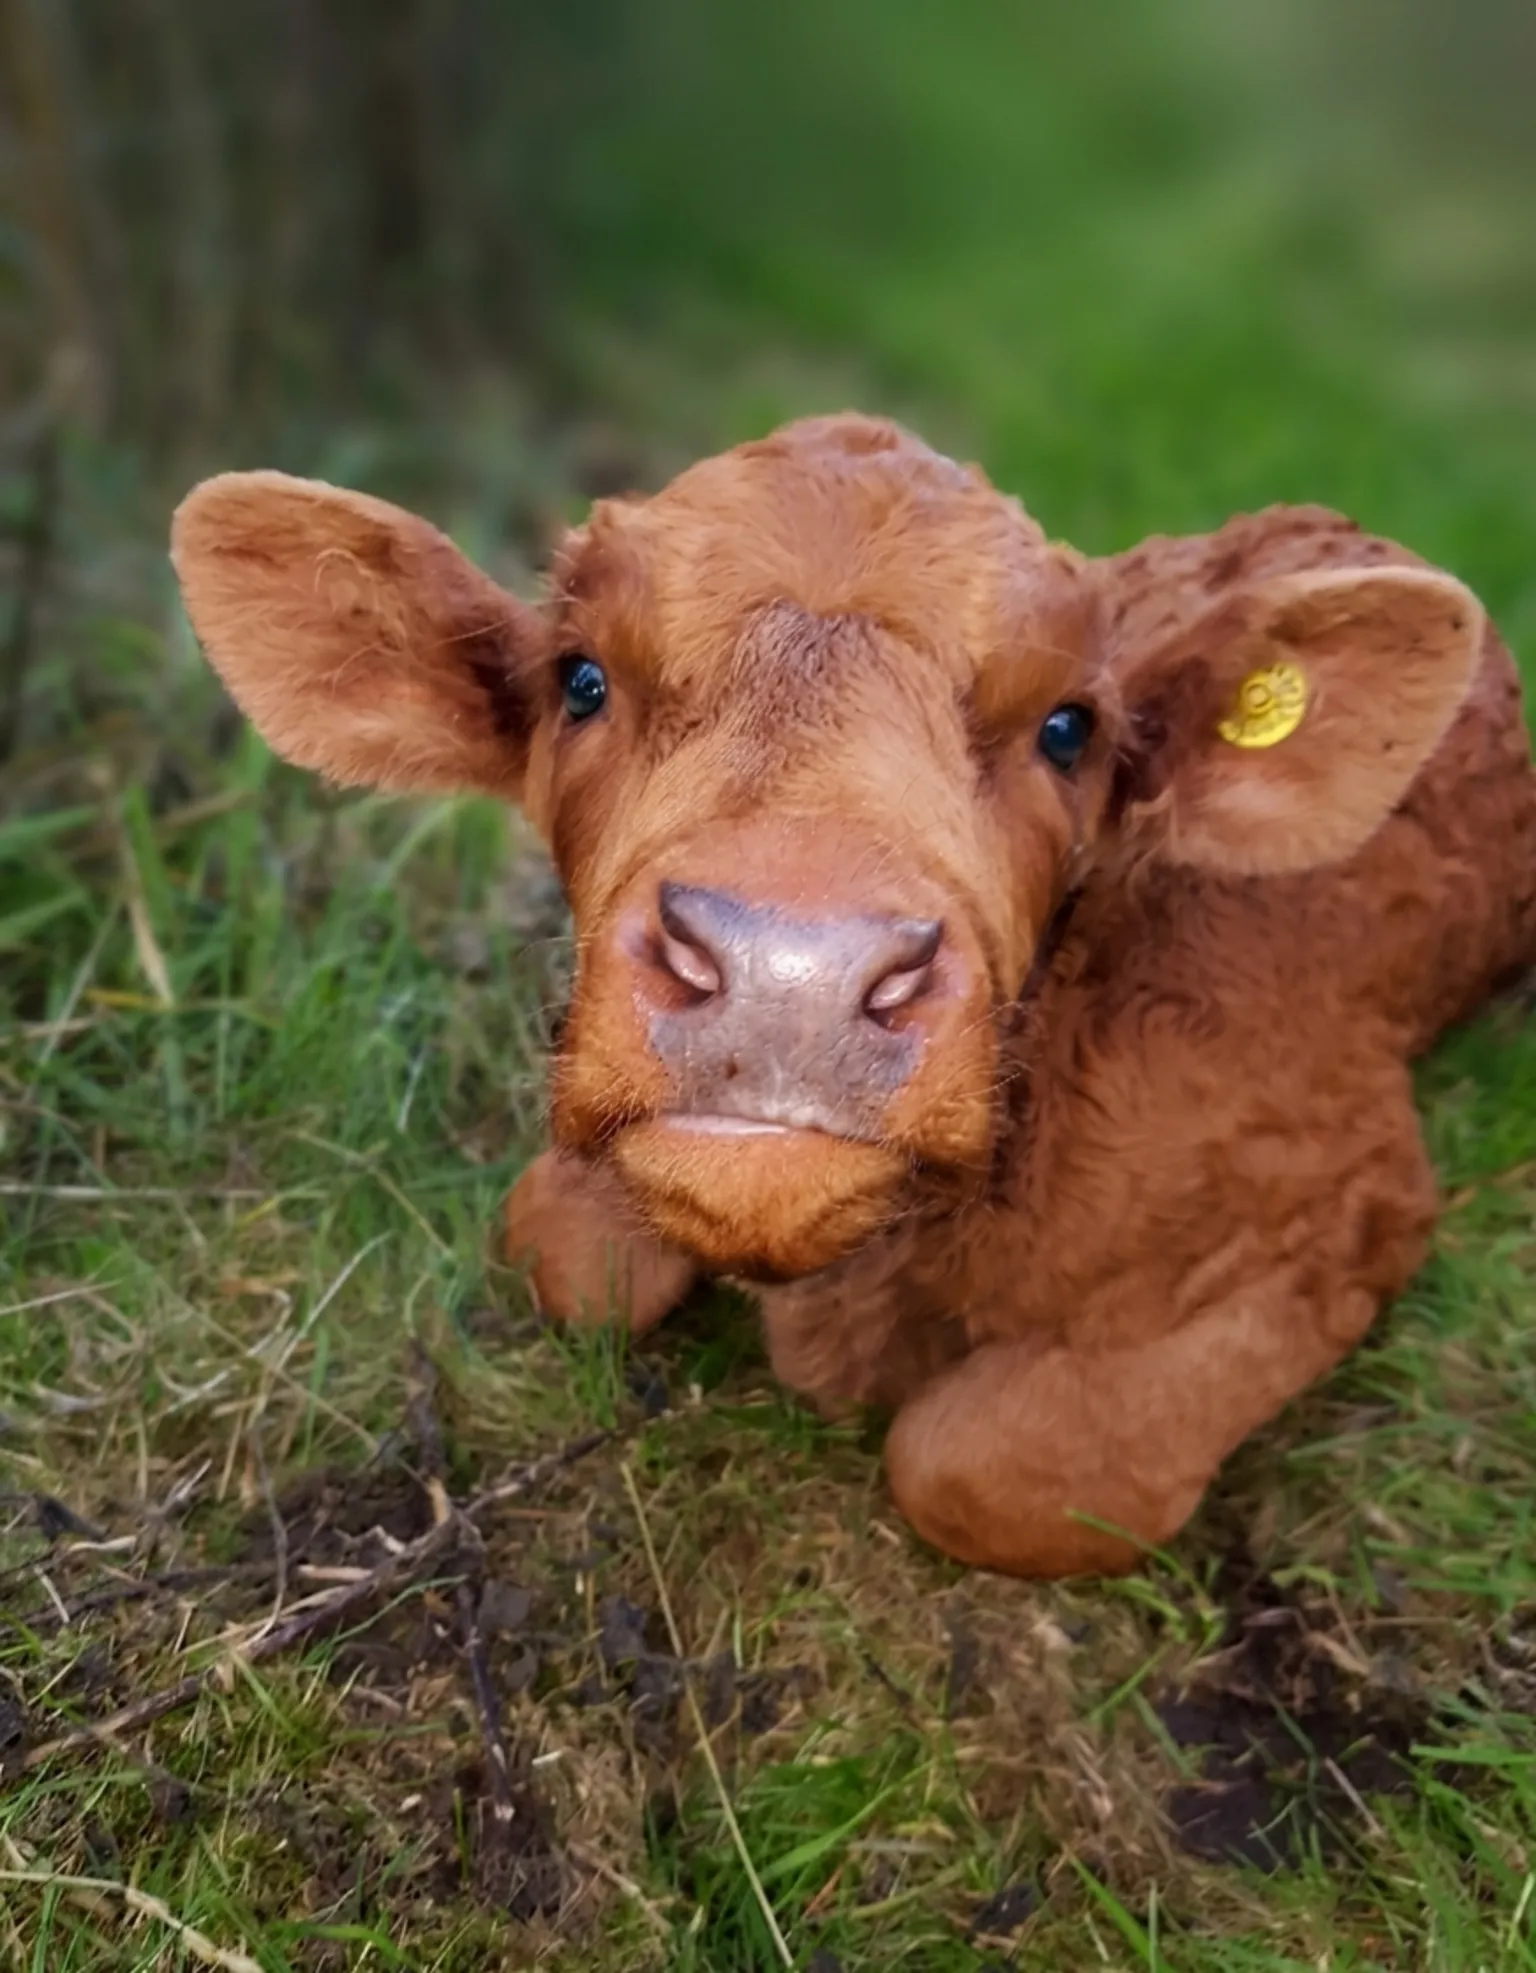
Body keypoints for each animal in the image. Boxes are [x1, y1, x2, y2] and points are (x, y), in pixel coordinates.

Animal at [170, 412, 1536, 1579]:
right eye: (580, 678)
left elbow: (981, 1468)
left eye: (1068, 727)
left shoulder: (1345, 1199)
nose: (792, 972)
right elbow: (570, 1258)